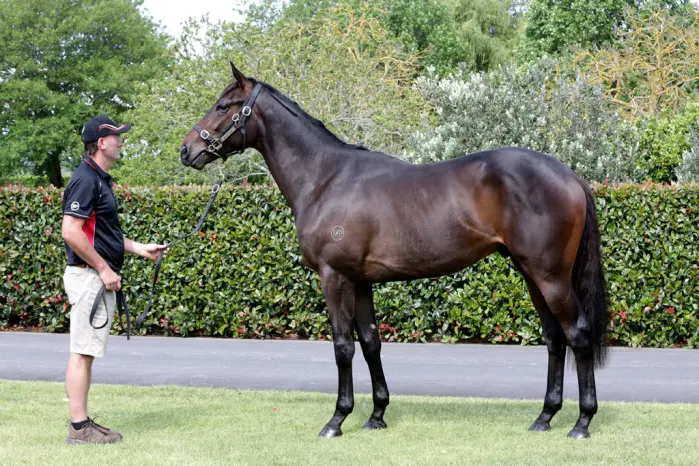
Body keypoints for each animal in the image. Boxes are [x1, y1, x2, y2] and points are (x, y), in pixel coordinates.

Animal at [179, 62, 610, 439]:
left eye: (223, 106)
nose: (186, 150)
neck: (326, 179)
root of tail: (569, 176)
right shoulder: (360, 281)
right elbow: (371, 343)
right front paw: (377, 416)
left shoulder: (334, 277)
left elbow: (343, 347)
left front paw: (337, 420)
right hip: (532, 275)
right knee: (555, 339)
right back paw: (545, 417)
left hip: (551, 276)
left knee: (577, 333)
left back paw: (581, 423)